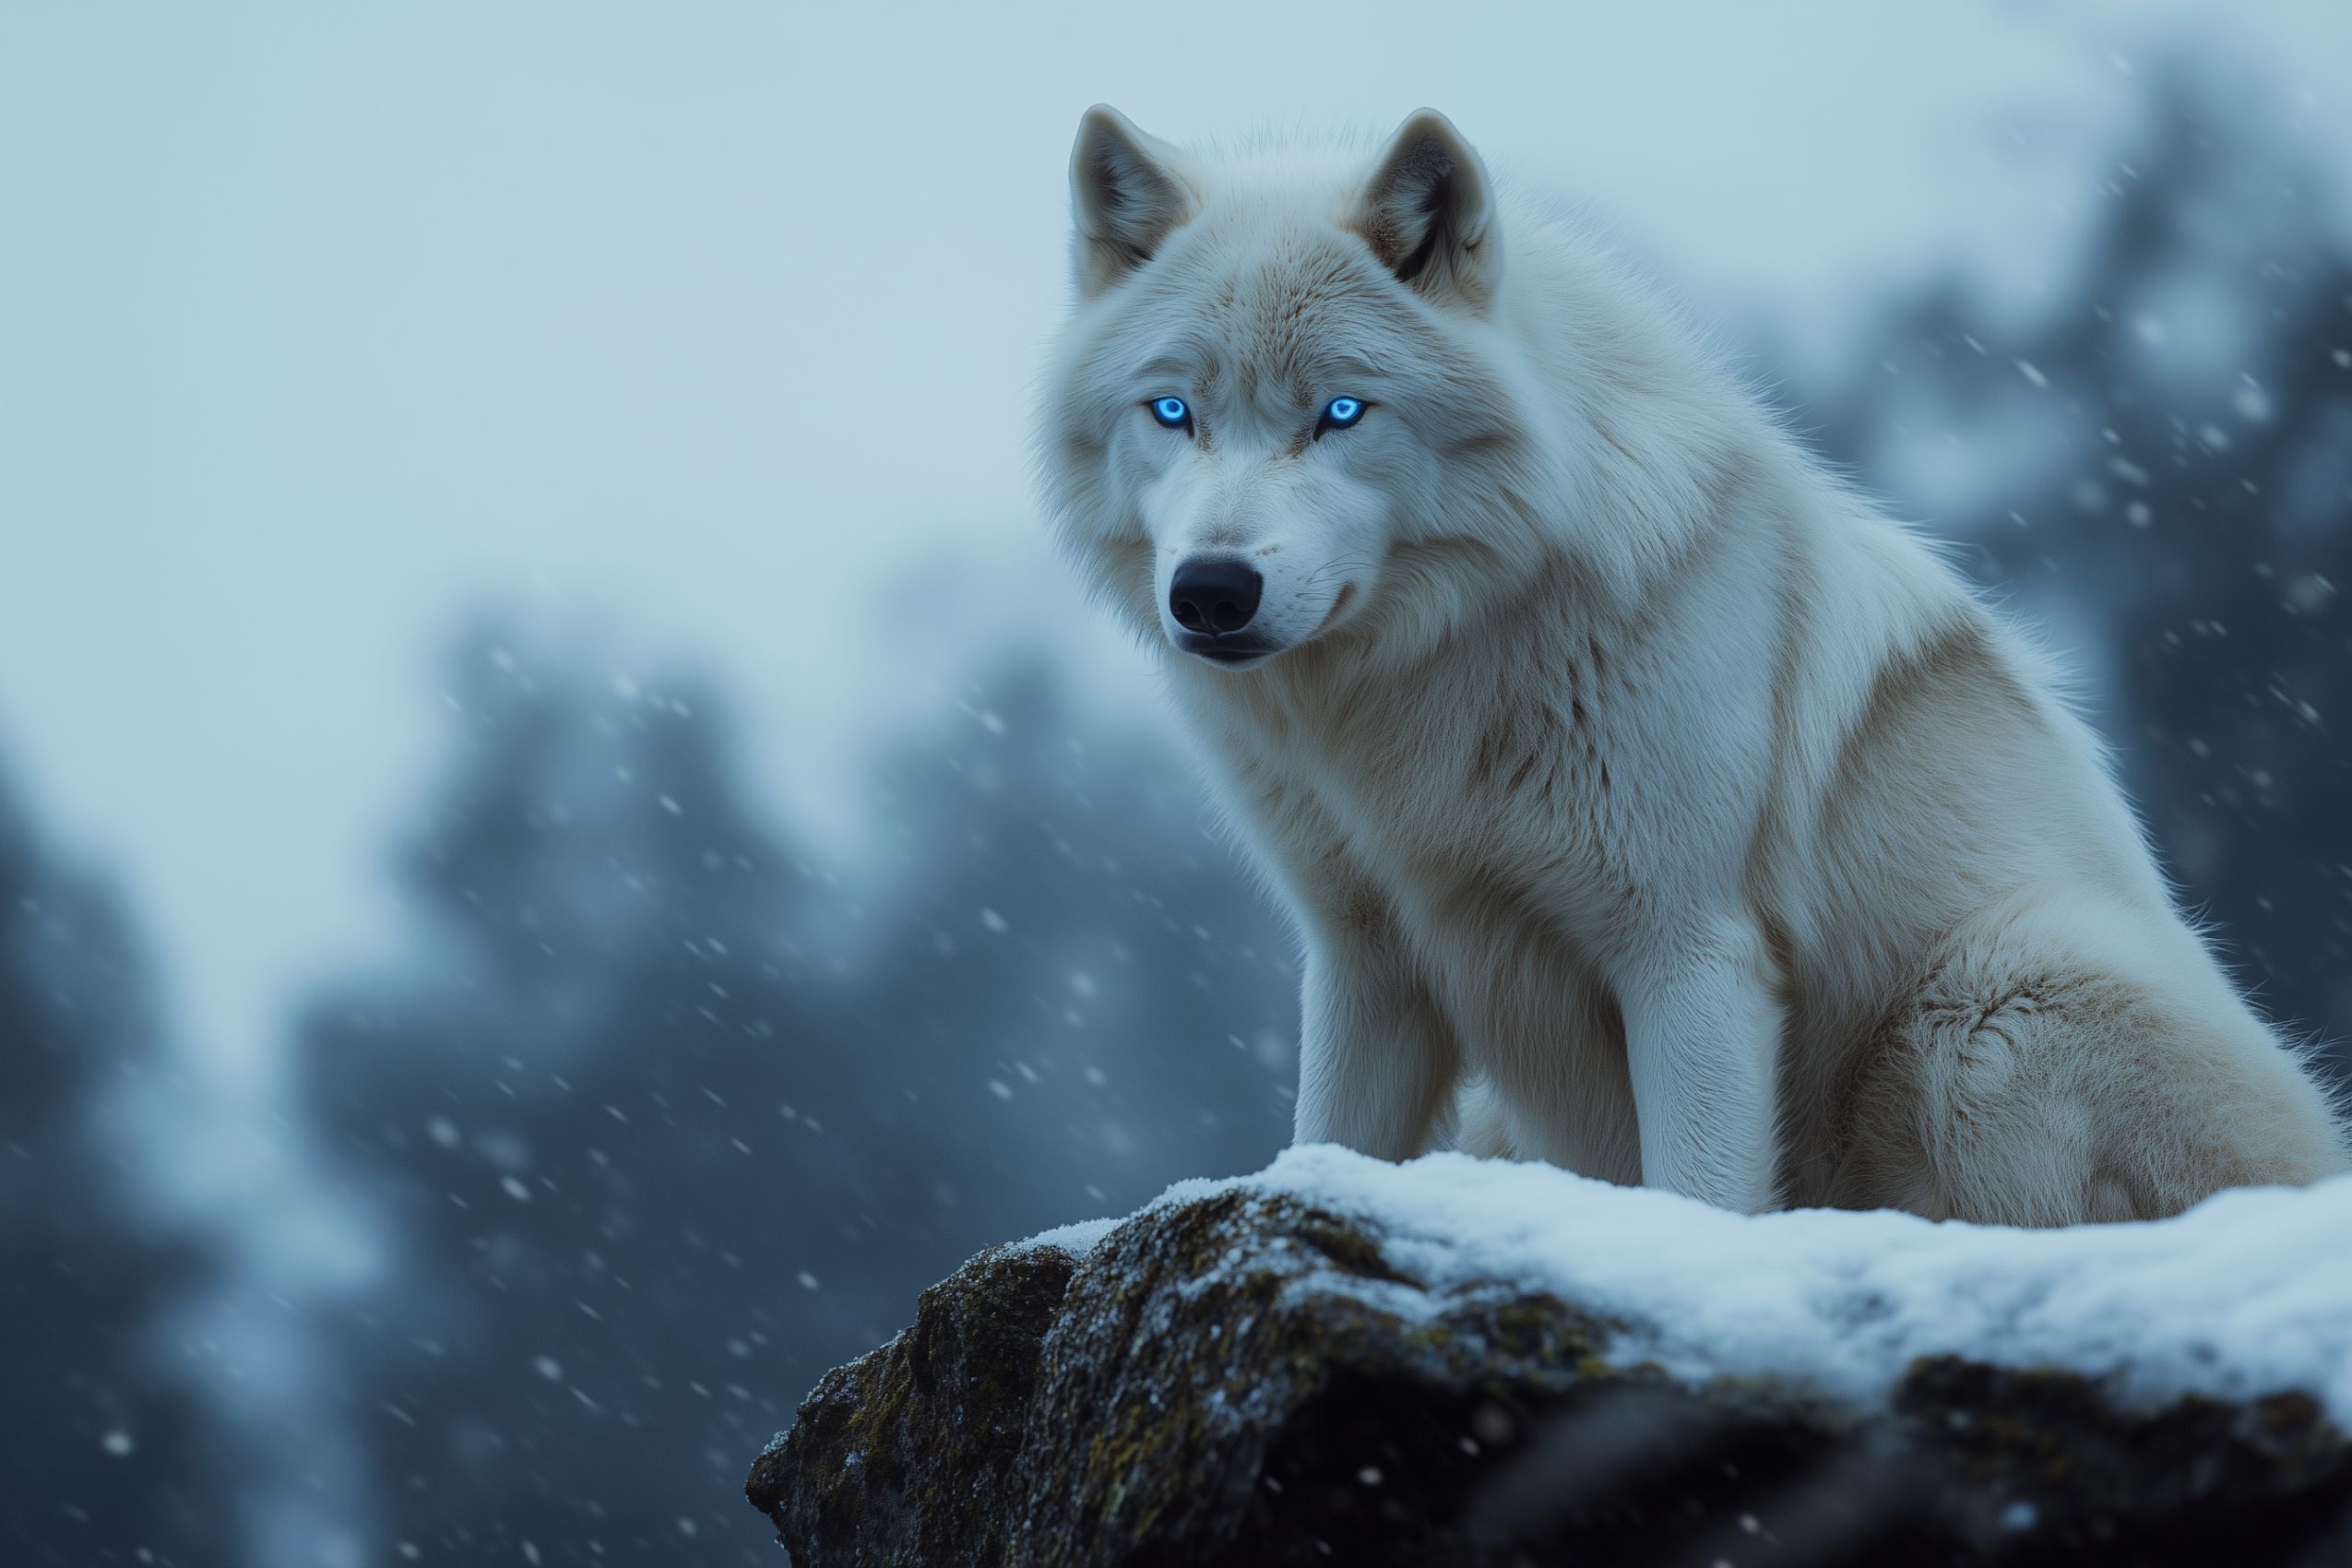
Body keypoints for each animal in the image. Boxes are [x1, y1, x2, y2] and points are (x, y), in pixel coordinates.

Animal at [1034, 106, 2350, 1223]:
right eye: (1173, 413)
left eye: (1341, 414)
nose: (1212, 591)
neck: (1425, 687)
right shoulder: (1368, 957)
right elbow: (1323, 1145)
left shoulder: (1690, 950)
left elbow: (1704, 1192)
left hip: (1990, 1000)